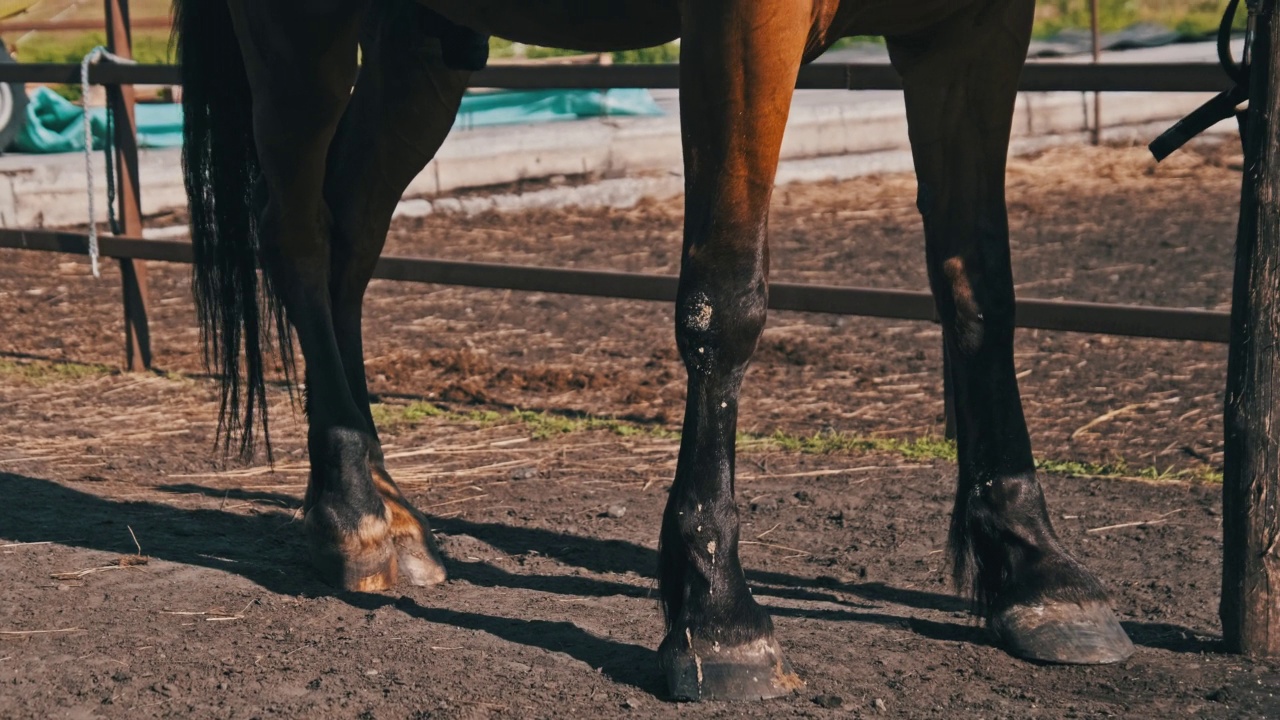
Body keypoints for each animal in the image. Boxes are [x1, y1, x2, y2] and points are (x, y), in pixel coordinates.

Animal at [177, 0, 1131, 702]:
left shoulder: (974, 26)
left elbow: (980, 287)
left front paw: (1036, 568)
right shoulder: (746, 21)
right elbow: (726, 298)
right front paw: (718, 616)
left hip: (420, 48)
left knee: (348, 240)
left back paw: (387, 509)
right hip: (300, 34)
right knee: (299, 241)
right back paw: (354, 519)